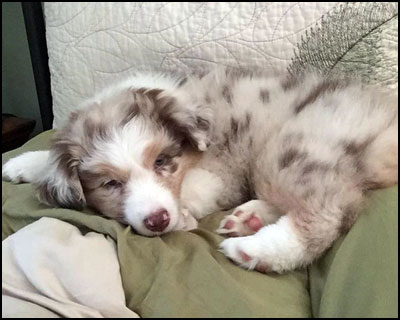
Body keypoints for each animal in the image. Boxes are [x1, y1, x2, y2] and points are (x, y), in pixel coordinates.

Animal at [2, 69, 396, 272]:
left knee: (328, 211)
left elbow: (192, 191)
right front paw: (22, 164)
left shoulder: (221, 172)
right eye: (110, 183)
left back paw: (255, 249)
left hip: (292, 146)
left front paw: (182, 216)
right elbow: (51, 159)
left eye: (162, 161)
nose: (157, 220)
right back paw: (249, 218)